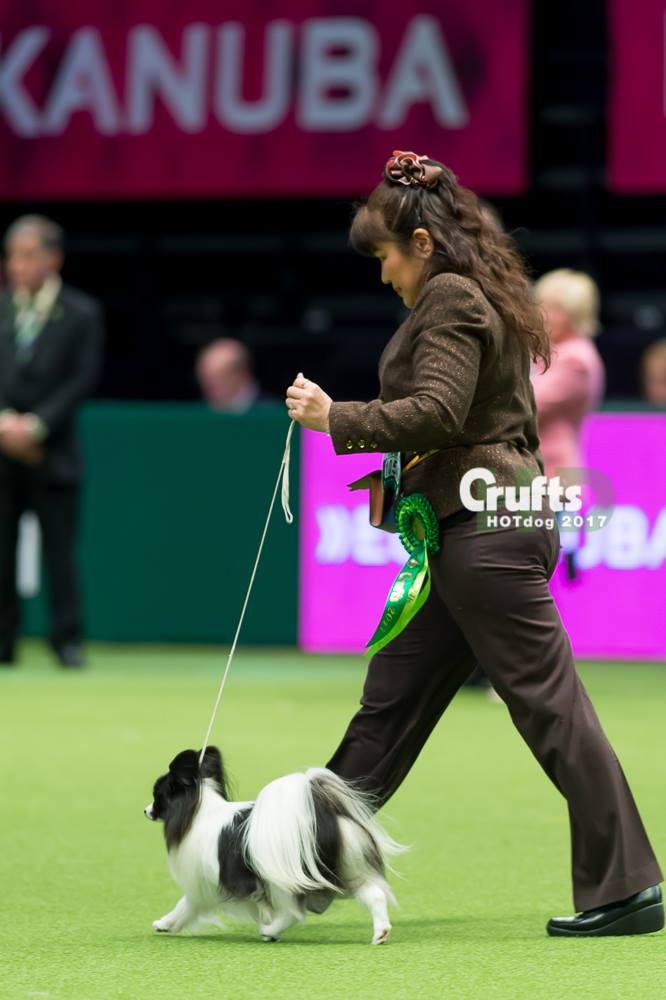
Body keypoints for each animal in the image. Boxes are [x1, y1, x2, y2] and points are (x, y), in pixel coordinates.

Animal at [145, 748, 402, 940]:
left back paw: (270, 931)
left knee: (293, 912)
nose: (146, 810)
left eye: (157, 796)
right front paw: (166, 924)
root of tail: (323, 816)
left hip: (281, 878)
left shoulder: (204, 883)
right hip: (349, 867)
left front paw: (165, 923)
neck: (198, 812)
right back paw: (380, 932)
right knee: (375, 894)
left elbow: (185, 905)